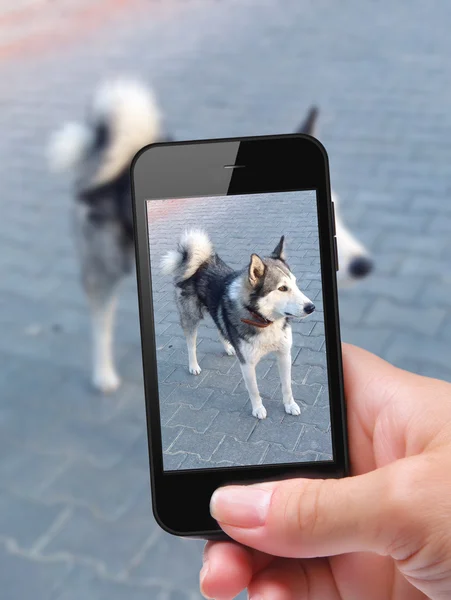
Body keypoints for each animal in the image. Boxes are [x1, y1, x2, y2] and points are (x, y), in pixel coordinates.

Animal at [48, 76, 374, 394]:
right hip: (106, 271)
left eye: (335, 208)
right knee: (105, 322)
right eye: (282, 288)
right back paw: (105, 374)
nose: (364, 265)